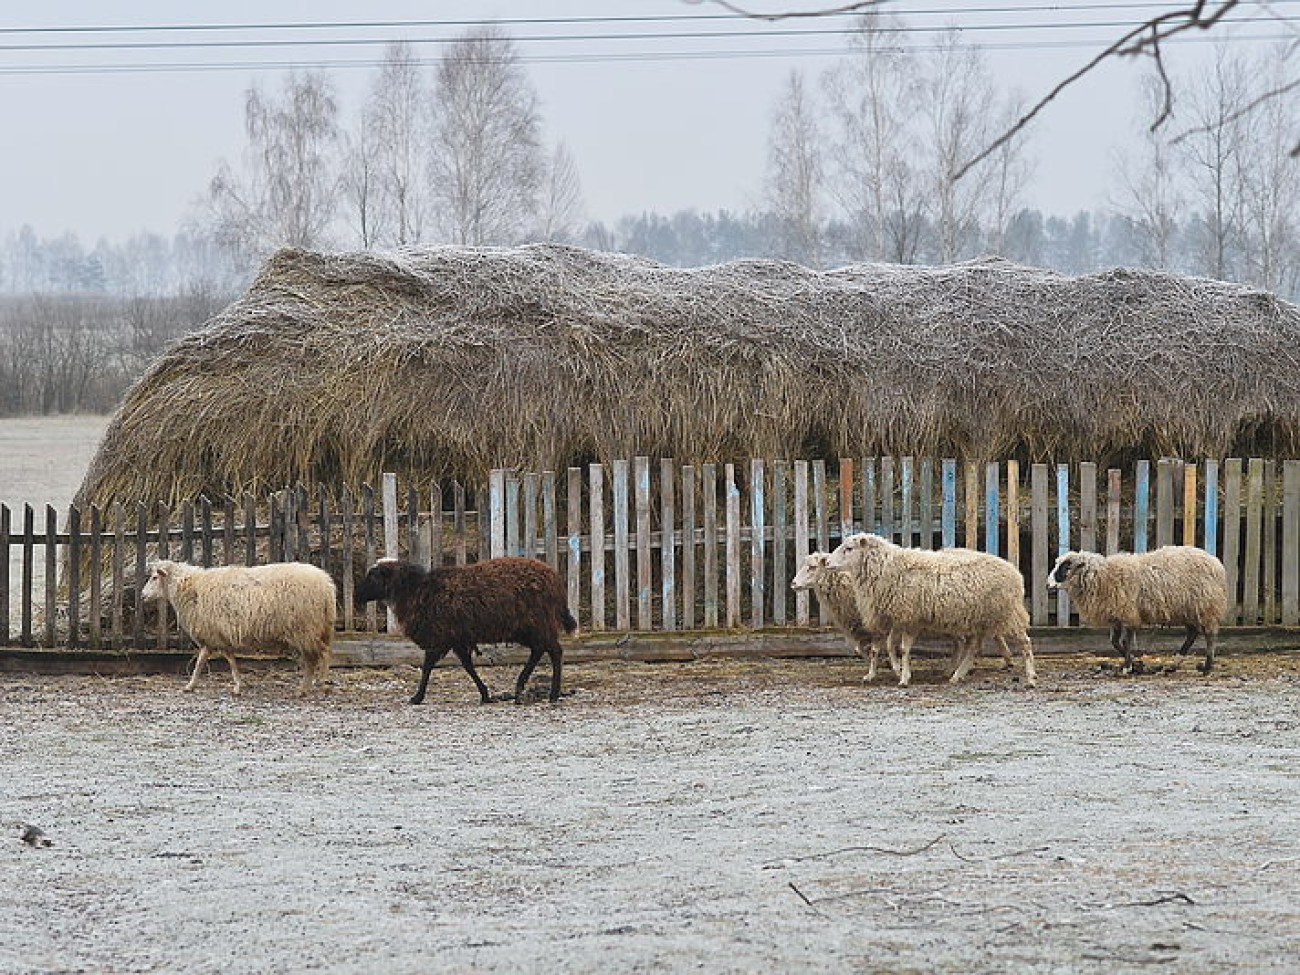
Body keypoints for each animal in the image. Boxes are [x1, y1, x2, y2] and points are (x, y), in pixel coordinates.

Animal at [142, 556, 338, 696]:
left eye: (154, 577)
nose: (143, 595)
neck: (190, 587)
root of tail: (326, 584)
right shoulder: (215, 635)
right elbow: (204, 660)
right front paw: (191, 685)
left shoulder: (215, 633)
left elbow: (224, 660)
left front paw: (236, 686)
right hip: (313, 628)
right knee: (313, 658)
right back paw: (304, 689)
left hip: (305, 627)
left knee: (323, 653)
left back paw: (322, 684)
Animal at [358, 561, 577, 707]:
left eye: (373, 576)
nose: (357, 596)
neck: (415, 591)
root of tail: (555, 579)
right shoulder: (456, 638)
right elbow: (468, 666)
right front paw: (485, 695)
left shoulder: (440, 636)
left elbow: (427, 667)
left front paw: (417, 697)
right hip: (530, 628)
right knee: (539, 650)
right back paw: (521, 688)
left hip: (538, 623)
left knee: (554, 651)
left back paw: (552, 694)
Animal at [780, 553, 1013, 681]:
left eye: (811, 567)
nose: (792, 584)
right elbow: (866, 649)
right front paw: (877, 670)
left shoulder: (885, 622)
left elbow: (883, 647)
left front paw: (891, 669)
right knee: (964, 642)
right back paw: (956, 668)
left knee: (981, 638)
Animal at [821, 538, 1034, 691]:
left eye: (849, 548)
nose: (826, 561)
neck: (887, 567)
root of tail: (1015, 572)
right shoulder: (900, 618)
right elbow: (892, 647)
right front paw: (894, 673)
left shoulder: (909, 618)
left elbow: (903, 649)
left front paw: (904, 678)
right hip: (980, 619)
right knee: (973, 647)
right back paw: (956, 675)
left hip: (1007, 613)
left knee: (1025, 643)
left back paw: (1031, 678)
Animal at [1045, 546, 1227, 676]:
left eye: (1065, 567)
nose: (1047, 585)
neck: (1104, 576)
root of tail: (1216, 563)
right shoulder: (1117, 616)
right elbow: (1114, 642)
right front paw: (1135, 662)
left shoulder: (1129, 614)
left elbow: (1126, 642)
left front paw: (1127, 667)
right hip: (1187, 609)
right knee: (1192, 633)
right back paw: (1173, 665)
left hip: (1205, 607)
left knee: (1210, 635)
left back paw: (1206, 668)